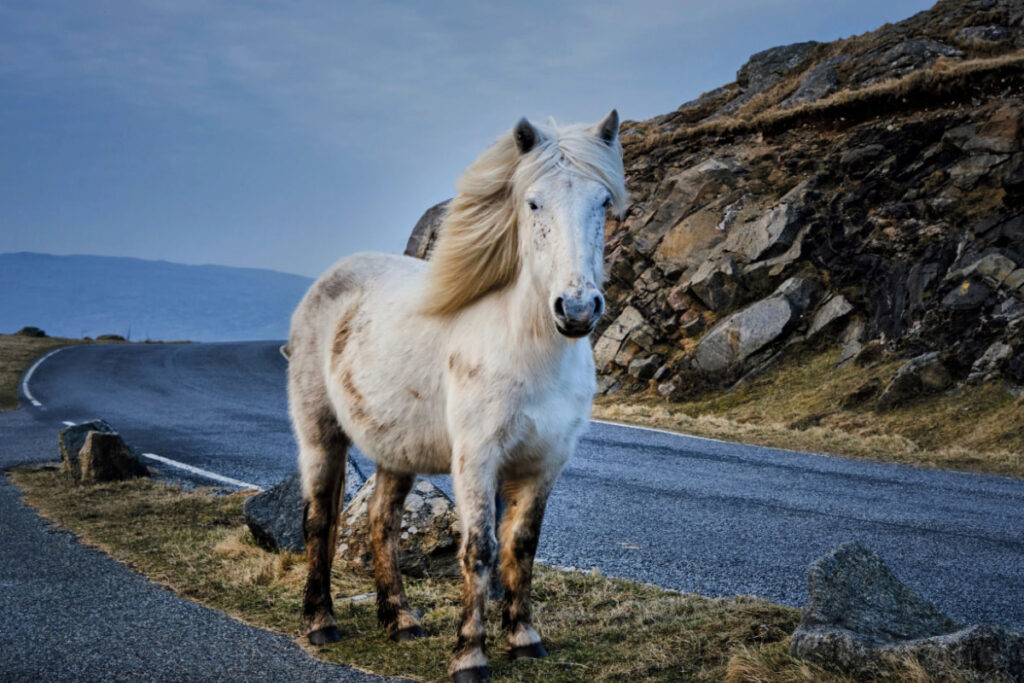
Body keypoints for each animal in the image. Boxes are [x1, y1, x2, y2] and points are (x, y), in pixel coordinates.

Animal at [288, 109, 622, 679]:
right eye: (533, 202)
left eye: (602, 202)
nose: (576, 309)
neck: (529, 351)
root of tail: (328, 280)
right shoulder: (477, 458)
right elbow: (480, 550)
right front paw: (469, 654)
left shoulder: (544, 463)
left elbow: (521, 547)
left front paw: (524, 638)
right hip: (321, 436)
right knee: (319, 521)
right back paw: (321, 623)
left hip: (396, 450)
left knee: (381, 522)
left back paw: (400, 622)